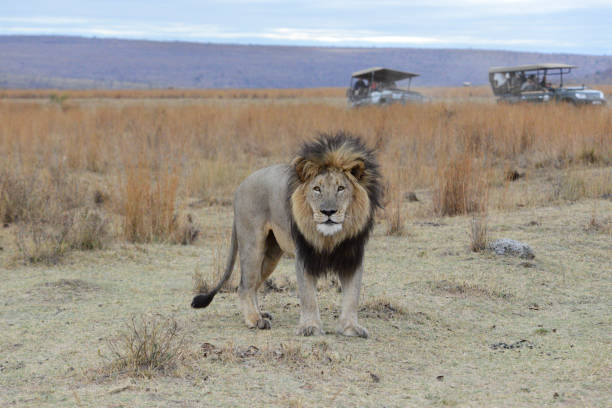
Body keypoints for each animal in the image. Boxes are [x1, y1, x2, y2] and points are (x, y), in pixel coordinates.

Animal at [191, 131, 382, 338]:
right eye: (317, 189)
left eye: (341, 188)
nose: (328, 212)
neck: (330, 237)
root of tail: (240, 185)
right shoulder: (304, 256)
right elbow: (308, 296)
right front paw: (310, 327)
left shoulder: (352, 256)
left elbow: (352, 296)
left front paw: (350, 327)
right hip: (252, 245)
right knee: (244, 286)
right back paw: (255, 320)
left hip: (271, 253)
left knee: (254, 284)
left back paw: (260, 313)